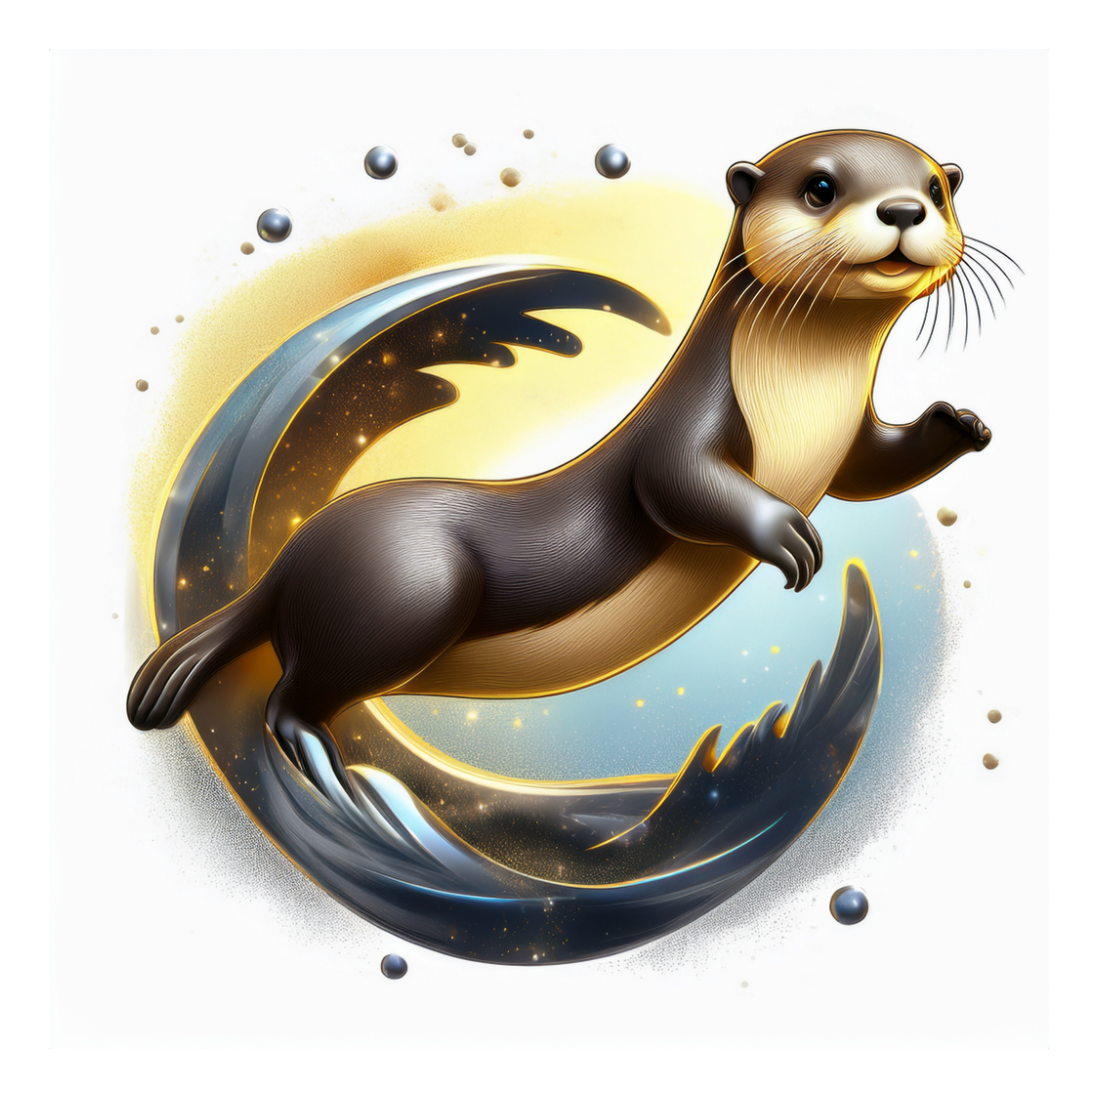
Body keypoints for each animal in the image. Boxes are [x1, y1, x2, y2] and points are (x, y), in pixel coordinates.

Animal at [128, 129, 990, 803]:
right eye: (819, 187)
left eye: (934, 188)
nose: (903, 210)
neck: (803, 400)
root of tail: (287, 558)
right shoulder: (685, 426)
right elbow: (676, 484)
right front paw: (782, 529)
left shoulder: (847, 439)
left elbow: (872, 470)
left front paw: (958, 424)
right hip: (409, 585)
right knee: (289, 697)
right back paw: (322, 761)